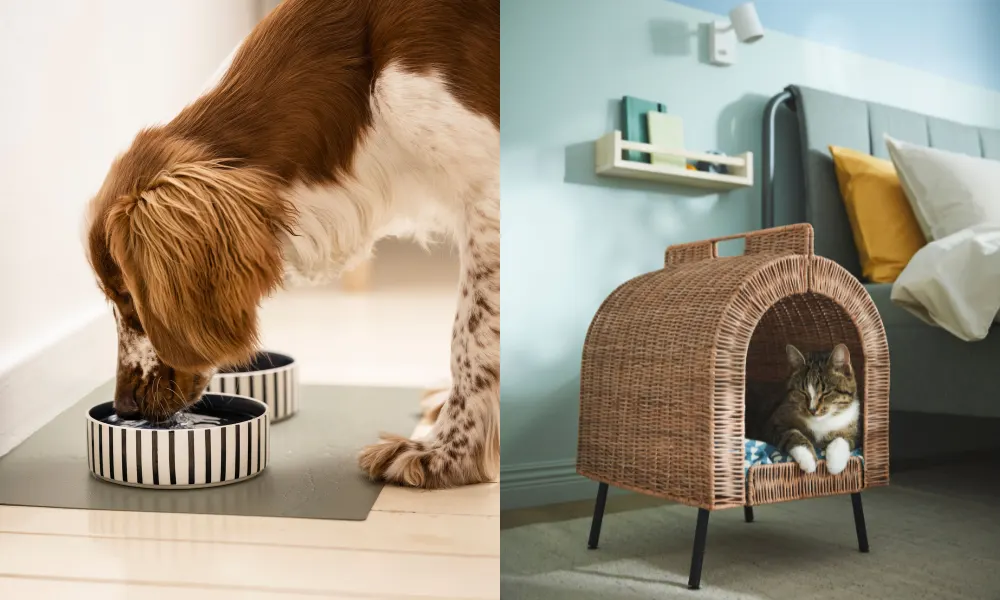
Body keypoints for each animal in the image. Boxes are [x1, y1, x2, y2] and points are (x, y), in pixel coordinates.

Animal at [748, 344, 864, 476]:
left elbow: (843, 437)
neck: (822, 421)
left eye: (826, 393)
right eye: (802, 392)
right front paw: (808, 459)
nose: (812, 410)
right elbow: (792, 433)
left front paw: (835, 463)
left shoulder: (855, 427)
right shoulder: (773, 422)